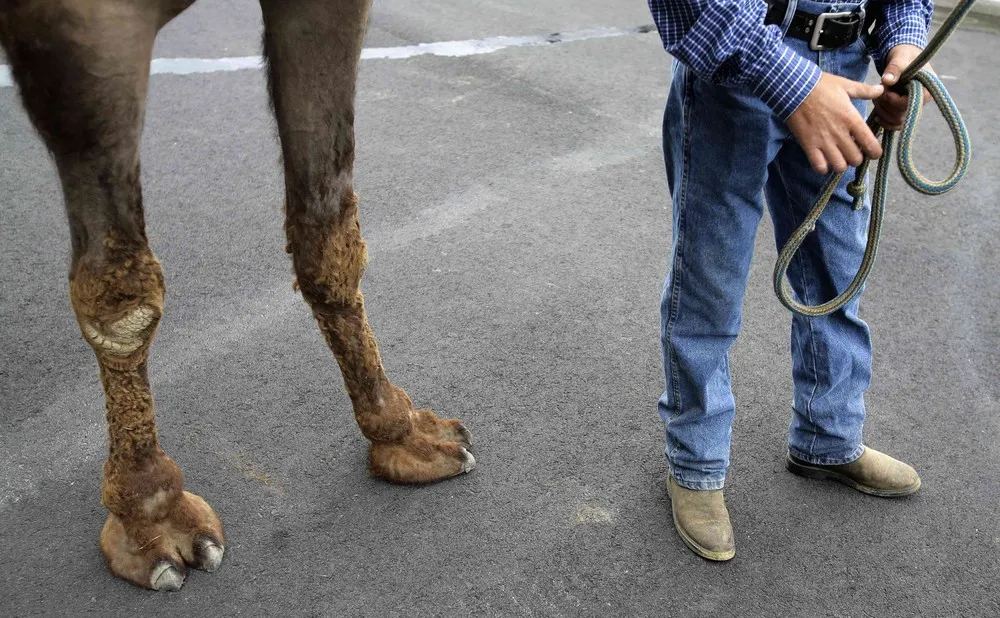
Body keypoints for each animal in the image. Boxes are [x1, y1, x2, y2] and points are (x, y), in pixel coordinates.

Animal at [0, 0, 475, 591]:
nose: (406, 431)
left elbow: (328, 232)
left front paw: (404, 434)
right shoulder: (77, 27)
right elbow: (122, 298)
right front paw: (149, 515)